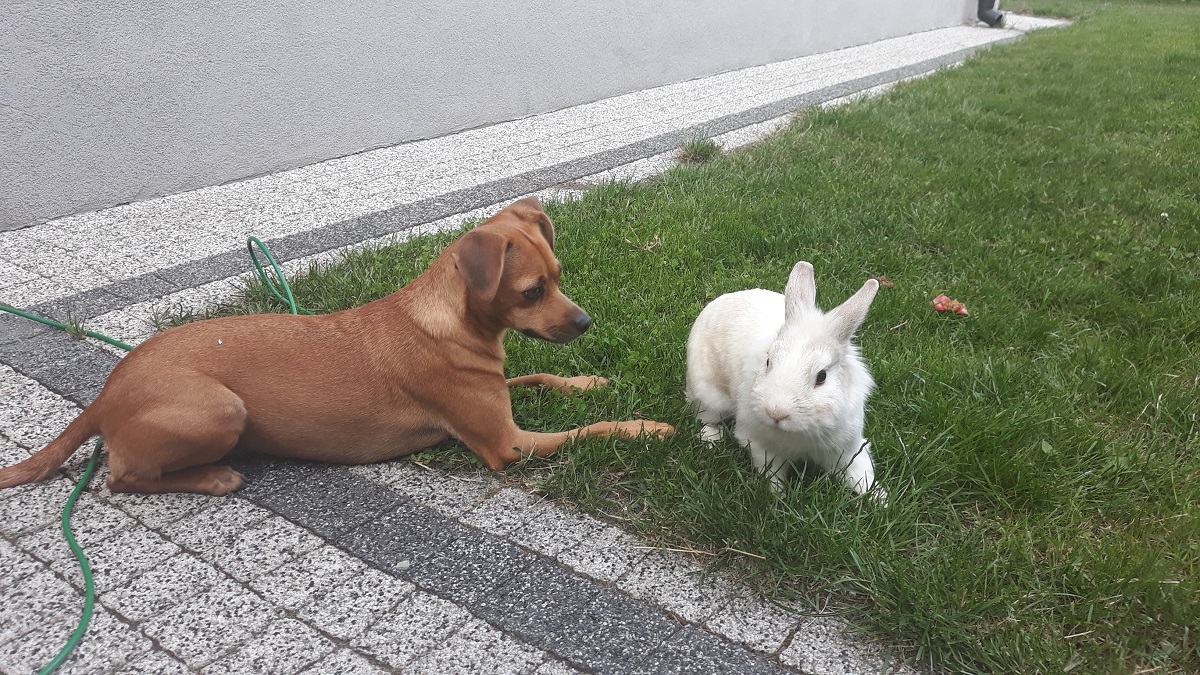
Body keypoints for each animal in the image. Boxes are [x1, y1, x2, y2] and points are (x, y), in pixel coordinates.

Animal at [0, 197, 674, 495]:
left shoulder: (493, 393)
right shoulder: (507, 443)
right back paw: (213, 477)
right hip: (219, 408)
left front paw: (590, 382)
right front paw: (646, 427)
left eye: (559, 276)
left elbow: (540, 379)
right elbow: (591, 429)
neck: (452, 322)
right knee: (122, 477)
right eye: (532, 291)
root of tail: (107, 389)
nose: (585, 322)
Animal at [686, 261, 886, 502]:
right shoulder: (763, 447)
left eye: (821, 376)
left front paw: (880, 499)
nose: (776, 412)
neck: (802, 432)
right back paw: (712, 440)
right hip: (708, 395)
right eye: (768, 361)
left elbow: (861, 472)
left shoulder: (847, 449)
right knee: (706, 418)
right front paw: (778, 497)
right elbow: (773, 474)